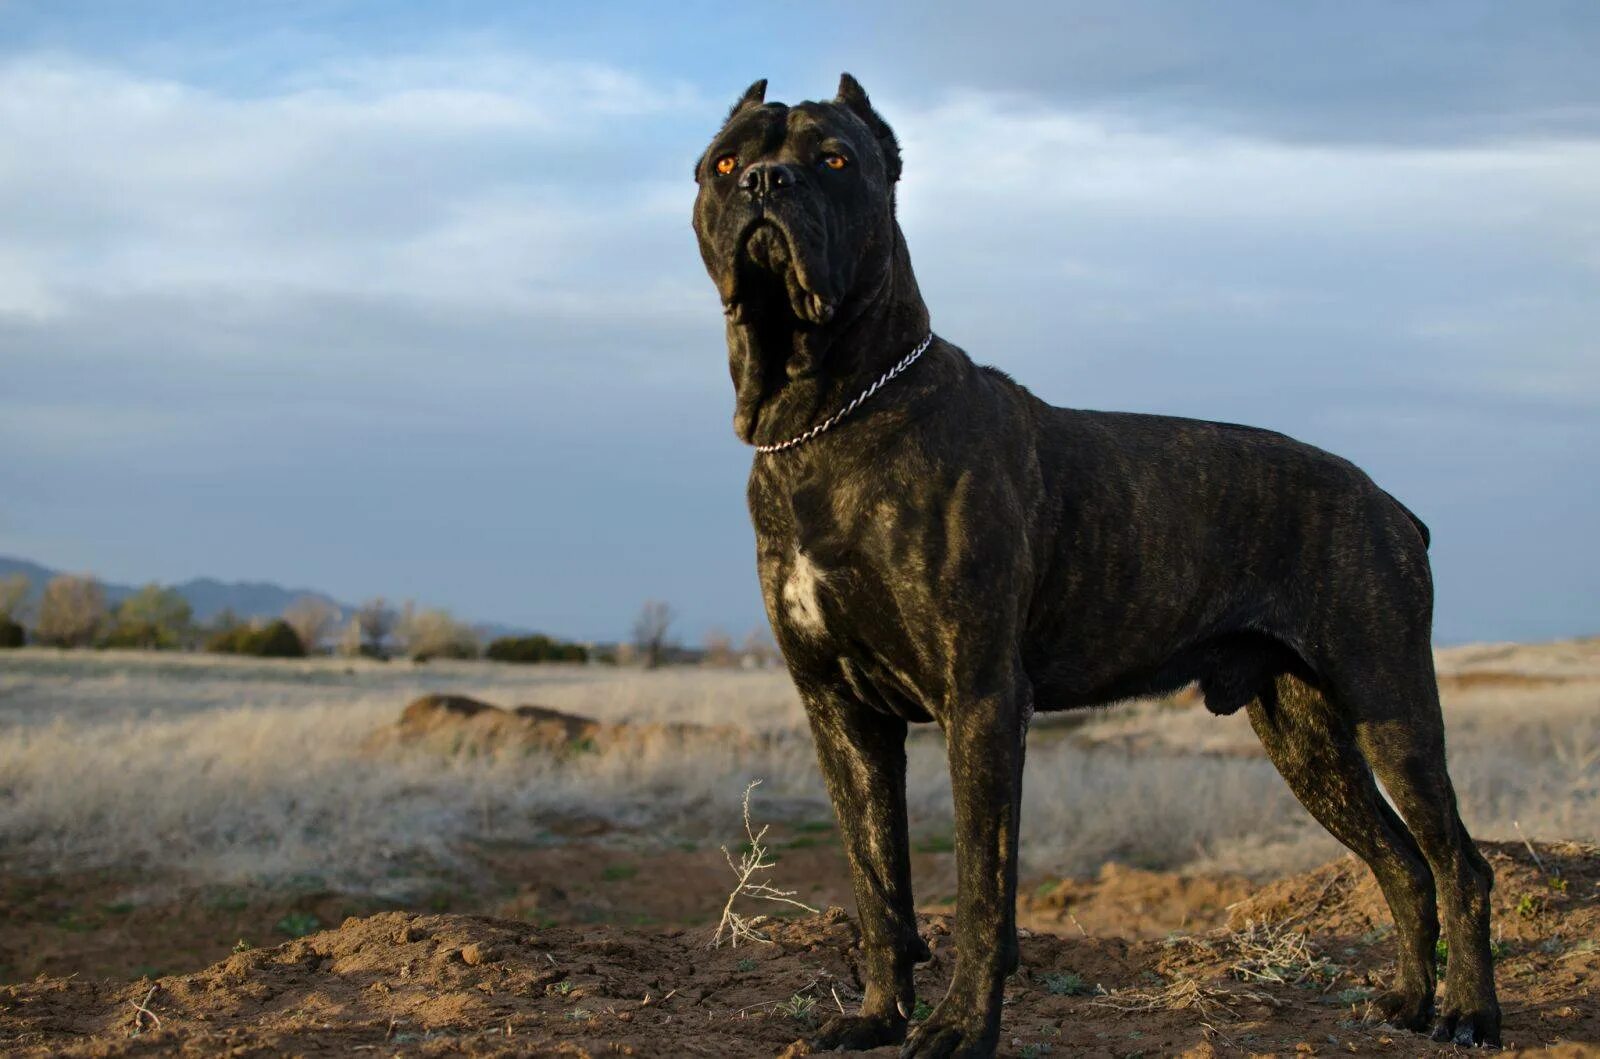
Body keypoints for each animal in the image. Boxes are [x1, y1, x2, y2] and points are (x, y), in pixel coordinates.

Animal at [688, 76, 1497, 1059]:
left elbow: (982, 886)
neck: (825, 416)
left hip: (1392, 703)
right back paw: (1410, 1002)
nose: (765, 182)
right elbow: (878, 883)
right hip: (1306, 737)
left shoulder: (982, 699)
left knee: (1459, 862)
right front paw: (878, 1016)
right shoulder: (842, 713)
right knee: (1403, 863)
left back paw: (1470, 1012)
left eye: (836, 159)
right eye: (724, 161)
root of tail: (1390, 502)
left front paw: (960, 1028)